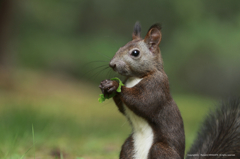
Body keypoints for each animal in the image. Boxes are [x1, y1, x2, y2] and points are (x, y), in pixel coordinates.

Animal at [98, 22, 240, 159]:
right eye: (120, 48)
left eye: (135, 53)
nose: (112, 64)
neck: (137, 77)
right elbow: (123, 107)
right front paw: (106, 86)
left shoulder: (157, 86)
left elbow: (143, 102)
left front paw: (115, 84)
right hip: (129, 147)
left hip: (161, 149)